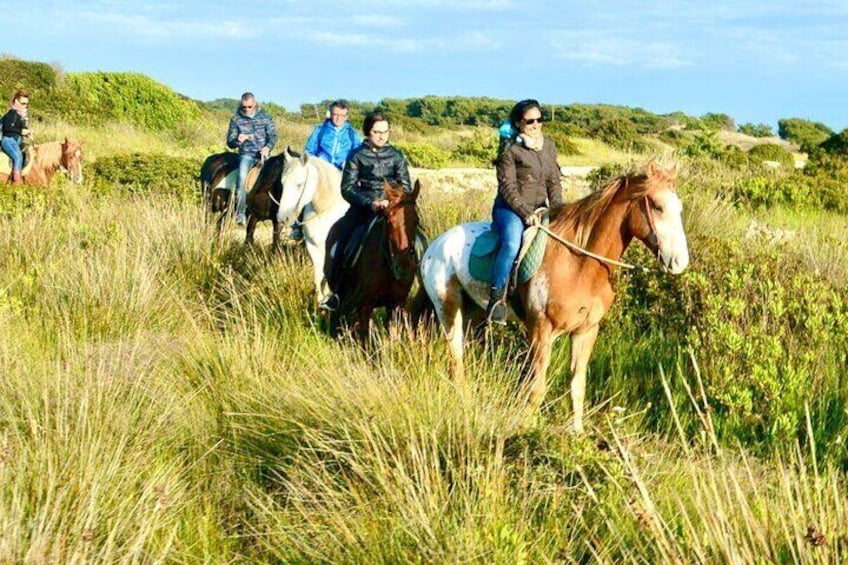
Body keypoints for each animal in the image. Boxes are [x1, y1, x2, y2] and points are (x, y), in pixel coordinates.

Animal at [274, 148, 348, 302]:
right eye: (282, 183)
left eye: (299, 184)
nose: (283, 218)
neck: (323, 211)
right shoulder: (313, 247)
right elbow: (319, 280)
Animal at [332, 178, 424, 342]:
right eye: (389, 221)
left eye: (416, 220)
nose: (403, 268)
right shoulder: (364, 305)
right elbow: (365, 340)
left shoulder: (395, 304)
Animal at [418, 163, 688, 432]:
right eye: (657, 206)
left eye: (679, 207)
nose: (680, 262)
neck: (579, 264)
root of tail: (434, 246)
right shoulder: (541, 331)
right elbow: (537, 389)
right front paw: (527, 428)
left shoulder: (585, 331)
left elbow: (577, 386)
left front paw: (577, 432)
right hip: (448, 309)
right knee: (455, 357)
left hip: (473, 312)